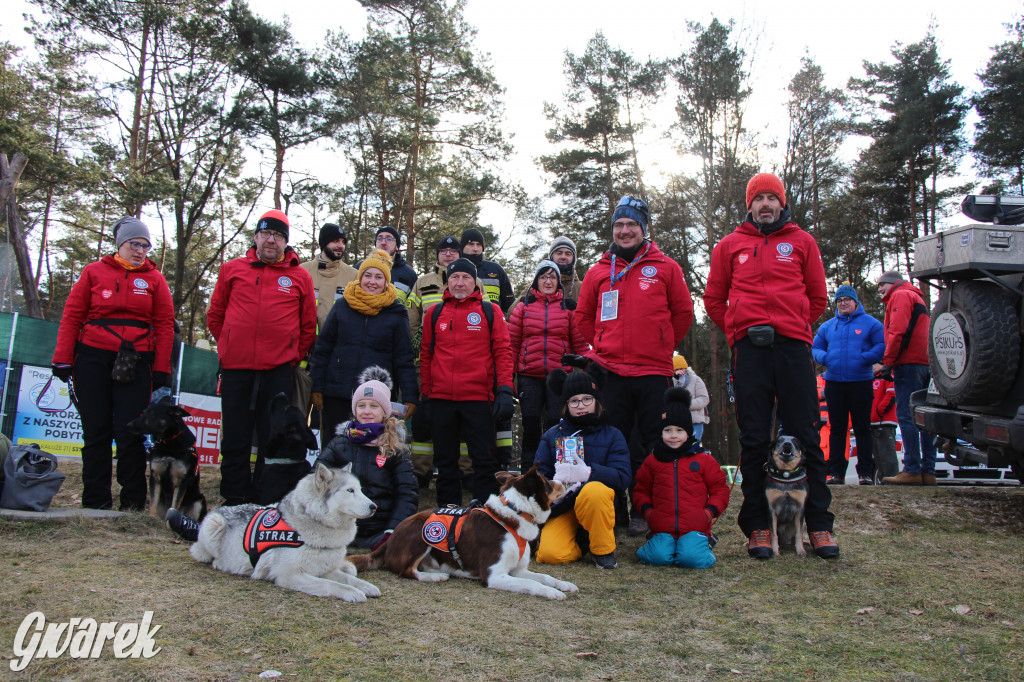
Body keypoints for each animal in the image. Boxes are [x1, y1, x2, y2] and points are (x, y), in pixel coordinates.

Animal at [188, 462, 380, 602]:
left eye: (360, 490)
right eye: (350, 490)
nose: (374, 507)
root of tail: (219, 509)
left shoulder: (322, 569)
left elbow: (349, 579)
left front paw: (366, 586)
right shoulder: (289, 575)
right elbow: (332, 585)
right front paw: (353, 593)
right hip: (214, 524)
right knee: (211, 558)